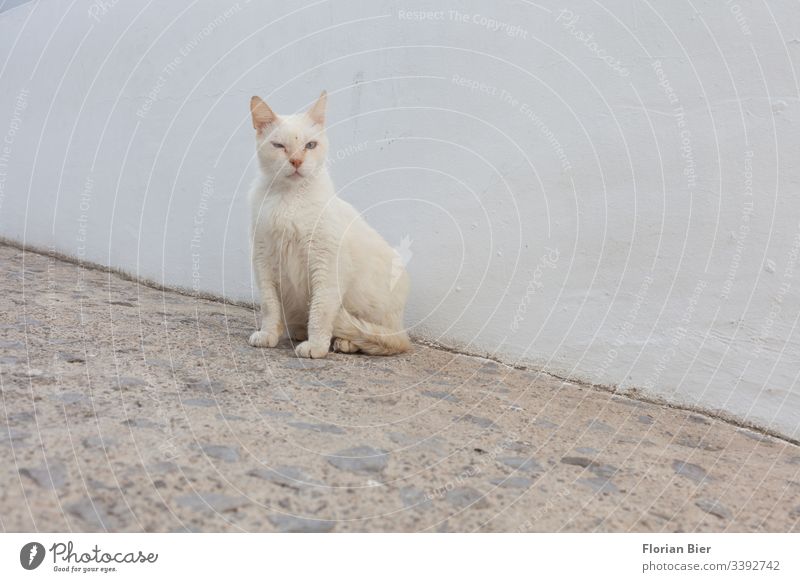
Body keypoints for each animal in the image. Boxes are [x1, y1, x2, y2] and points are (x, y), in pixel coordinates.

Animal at [248, 91, 412, 358]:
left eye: (310, 146)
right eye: (279, 146)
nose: (296, 161)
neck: (289, 200)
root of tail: (402, 327)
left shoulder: (326, 265)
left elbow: (320, 311)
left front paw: (316, 346)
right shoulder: (263, 260)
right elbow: (269, 306)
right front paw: (268, 334)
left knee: (380, 339)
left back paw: (344, 342)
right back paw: (298, 331)